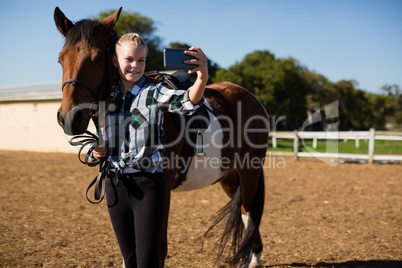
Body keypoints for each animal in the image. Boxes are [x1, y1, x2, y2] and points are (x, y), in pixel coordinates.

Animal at [52, 6, 266, 268]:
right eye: (61, 58)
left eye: (99, 58)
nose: (70, 117)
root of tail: (249, 96)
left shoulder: (162, 193)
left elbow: (158, 249)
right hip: (228, 176)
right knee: (245, 214)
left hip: (249, 172)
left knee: (250, 213)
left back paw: (254, 258)